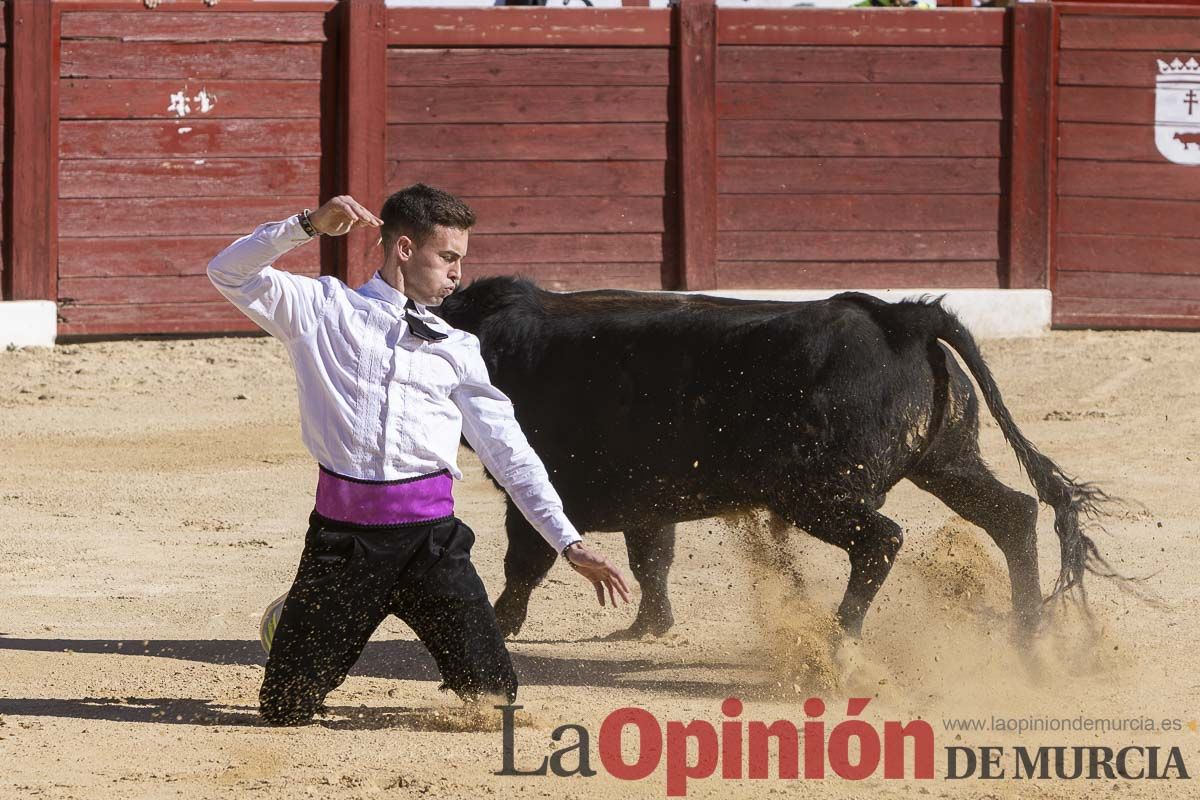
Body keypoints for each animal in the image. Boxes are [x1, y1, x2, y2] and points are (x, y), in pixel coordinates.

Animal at [436, 275, 1108, 638]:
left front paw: (500, 626)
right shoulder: (648, 495)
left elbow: (527, 562)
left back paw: (838, 642)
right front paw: (648, 626)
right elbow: (651, 557)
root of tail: (901, 318)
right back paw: (1029, 631)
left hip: (815, 492)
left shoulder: (541, 486)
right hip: (947, 462)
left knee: (881, 540)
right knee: (1013, 513)